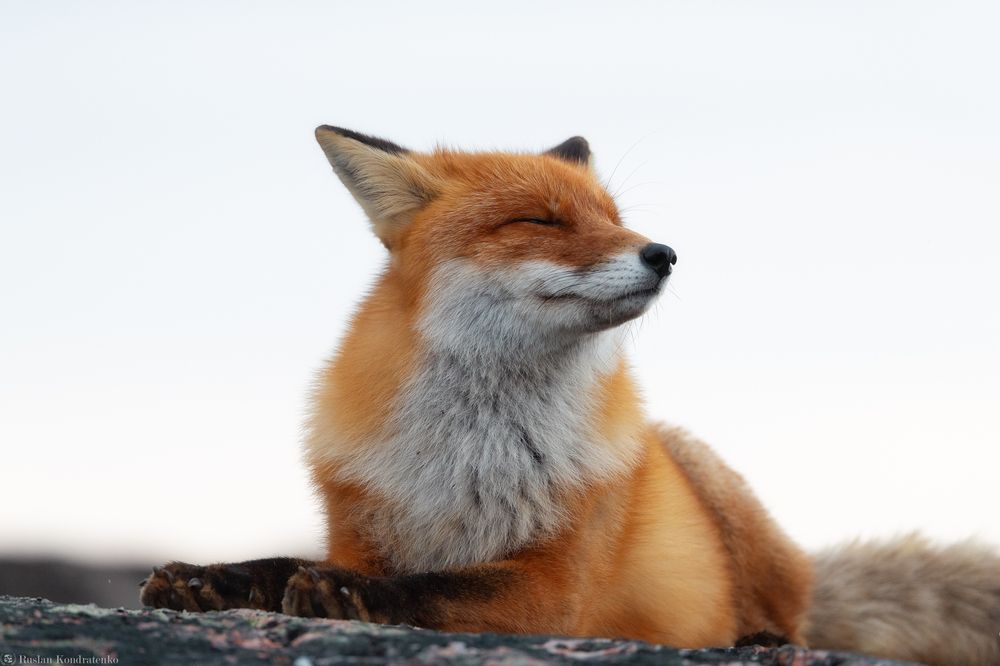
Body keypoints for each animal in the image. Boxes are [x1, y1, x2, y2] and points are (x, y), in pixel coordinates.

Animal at [140, 126, 1000, 665]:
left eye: (613, 219)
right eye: (542, 220)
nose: (664, 253)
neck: (470, 454)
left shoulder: (552, 591)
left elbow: (429, 587)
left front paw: (347, 596)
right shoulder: (359, 528)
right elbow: (280, 560)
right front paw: (209, 579)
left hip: (705, 473)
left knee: (791, 618)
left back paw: (762, 642)